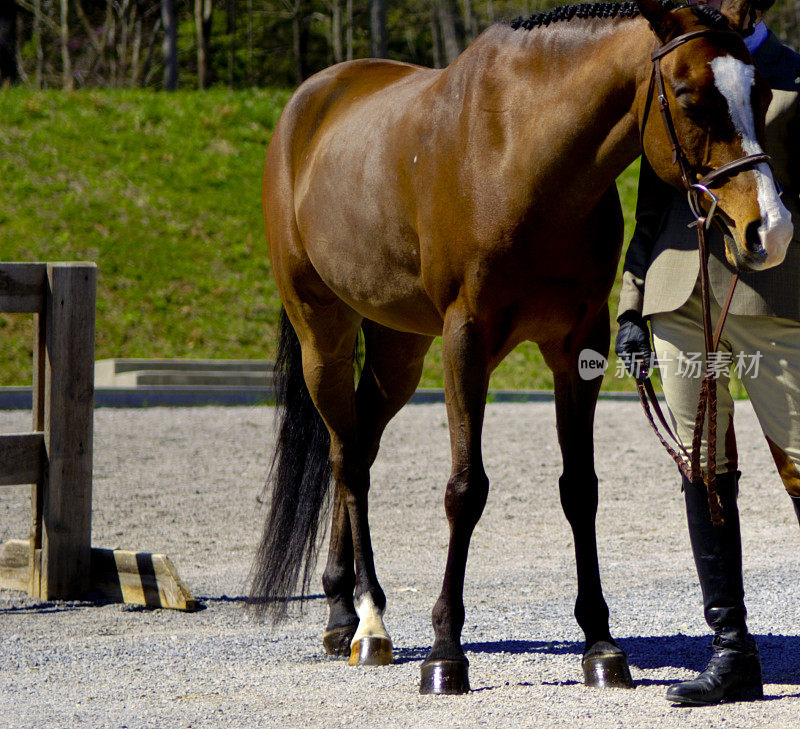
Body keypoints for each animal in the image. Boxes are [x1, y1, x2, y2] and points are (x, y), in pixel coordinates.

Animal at [253, 0, 792, 692]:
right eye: (691, 98)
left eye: (761, 92)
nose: (770, 230)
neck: (520, 154)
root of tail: (307, 104)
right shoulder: (466, 341)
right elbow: (465, 490)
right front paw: (445, 654)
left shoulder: (579, 345)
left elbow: (580, 488)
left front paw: (600, 644)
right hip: (324, 331)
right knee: (346, 459)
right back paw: (369, 622)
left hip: (398, 347)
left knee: (360, 448)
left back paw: (342, 611)